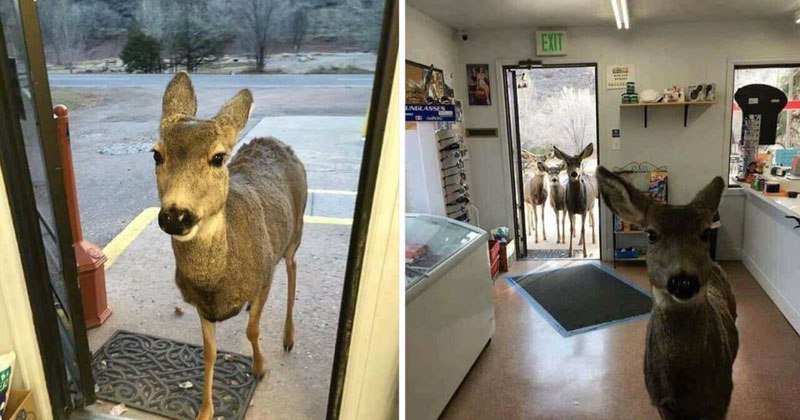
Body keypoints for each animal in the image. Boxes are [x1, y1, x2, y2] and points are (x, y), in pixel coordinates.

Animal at [152, 72, 307, 420]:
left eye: (218, 157)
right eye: (156, 154)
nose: (175, 215)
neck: (217, 281)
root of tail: (274, 141)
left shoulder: (263, 276)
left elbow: (252, 330)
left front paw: (260, 368)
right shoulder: (200, 305)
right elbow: (209, 352)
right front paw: (205, 410)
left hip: (296, 230)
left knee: (292, 266)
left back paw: (289, 337)